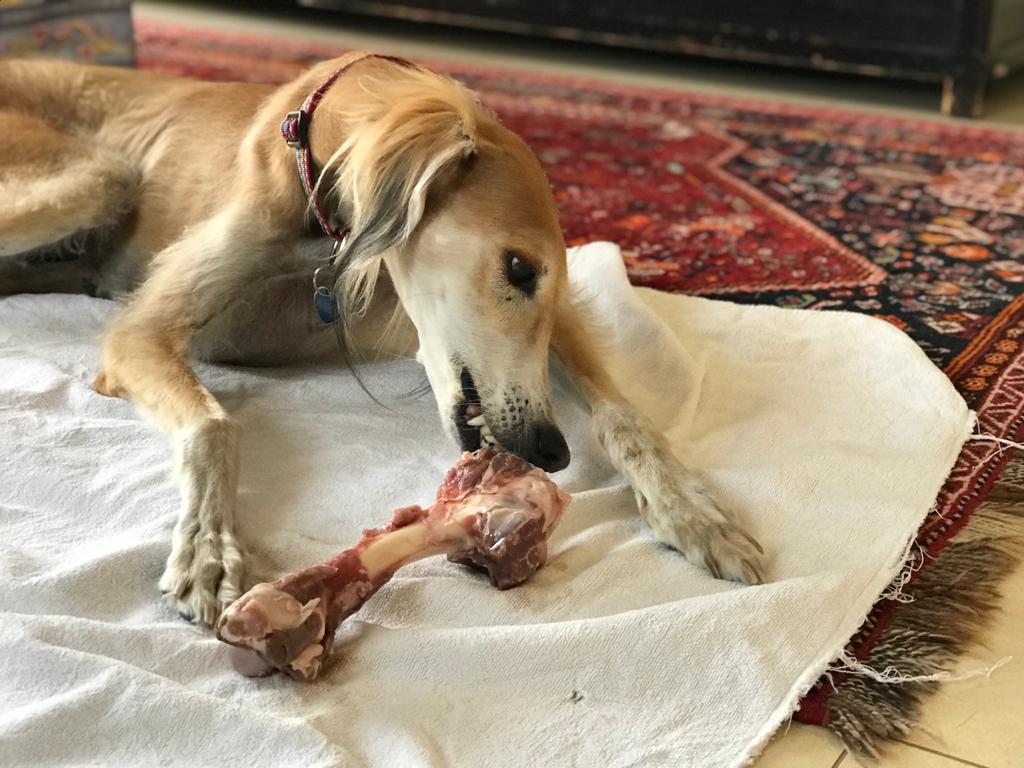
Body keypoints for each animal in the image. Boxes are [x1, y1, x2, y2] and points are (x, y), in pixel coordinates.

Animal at [0, 52, 765, 626]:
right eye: (519, 268)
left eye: (545, 278)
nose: (552, 451)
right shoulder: (142, 330)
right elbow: (215, 427)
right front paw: (209, 552)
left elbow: (622, 414)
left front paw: (694, 513)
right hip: (98, 178)